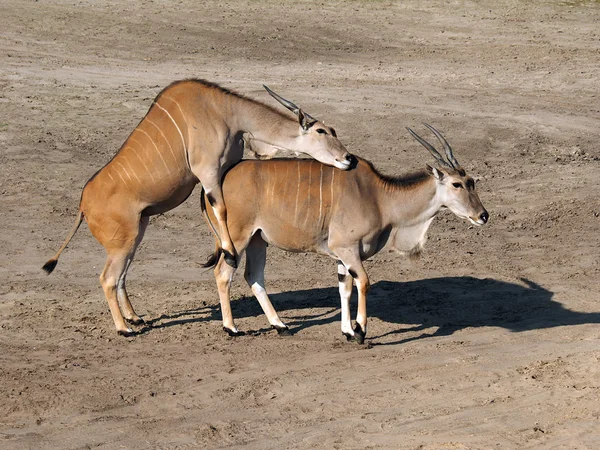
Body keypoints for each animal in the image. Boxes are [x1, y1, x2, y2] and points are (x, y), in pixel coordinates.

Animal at [42, 79, 352, 336]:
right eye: (321, 131)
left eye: (334, 130)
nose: (348, 158)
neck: (225, 112)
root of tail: (83, 204)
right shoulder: (209, 173)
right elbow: (220, 211)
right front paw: (227, 254)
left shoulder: (222, 172)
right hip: (124, 240)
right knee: (107, 278)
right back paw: (123, 328)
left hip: (136, 232)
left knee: (120, 276)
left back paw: (134, 317)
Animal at [202, 125, 488, 342]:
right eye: (457, 184)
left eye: (472, 181)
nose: (483, 215)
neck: (379, 197)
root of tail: (216, 183)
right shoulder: (347, 249)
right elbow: (363, 283)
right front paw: (360, 331)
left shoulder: (343, 256)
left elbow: (345, 288)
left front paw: (348, 331)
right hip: (238, 239)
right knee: (223, 273)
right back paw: (232, 328)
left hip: (258, 241)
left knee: (254, 276)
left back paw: (280, 325)